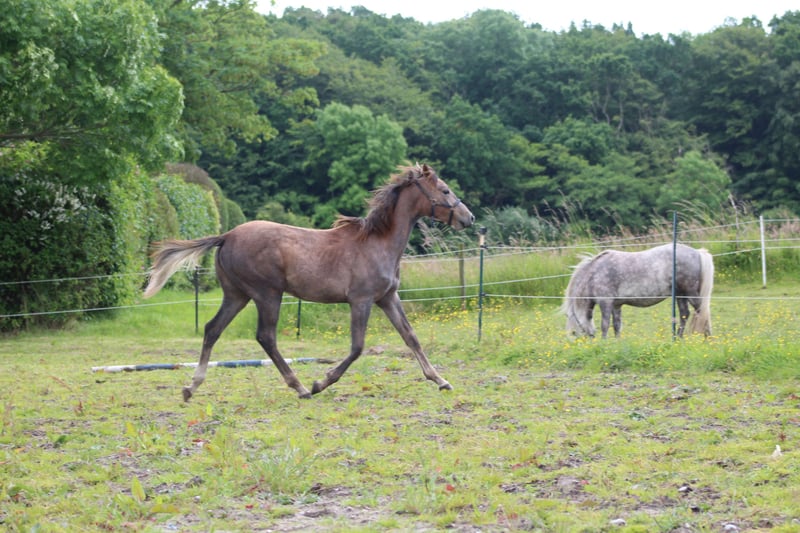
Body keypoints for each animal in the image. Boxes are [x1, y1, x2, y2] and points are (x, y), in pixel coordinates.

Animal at [143, 164, 475, 400]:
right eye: (445, 190)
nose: (469, 218)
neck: (378, 243)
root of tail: (226, 236)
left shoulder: (387, 298)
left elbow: (411, 337)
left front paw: (441, 380)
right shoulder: (362, 300)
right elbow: (357, 347)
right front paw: (321, 382)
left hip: (237, 295)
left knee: (213, 329)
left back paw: (191, 387)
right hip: (267, 294)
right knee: (266, 337)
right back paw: (301, 387)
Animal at [561, 243, 714, 339]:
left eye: (574, 332)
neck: (594, 274)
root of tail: (697, 252)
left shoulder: (606, 303)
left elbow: (605, 325)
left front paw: (604, 344)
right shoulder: (616, 305)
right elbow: (616, 326)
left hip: (690, 293)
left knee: (702, 312)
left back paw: (708, 338)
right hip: (680, 295)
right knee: (684, 315)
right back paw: (678, 338)